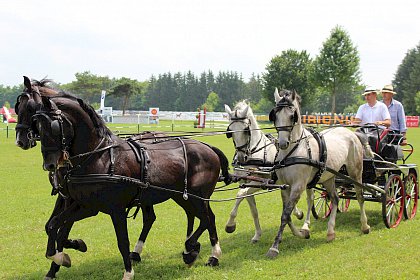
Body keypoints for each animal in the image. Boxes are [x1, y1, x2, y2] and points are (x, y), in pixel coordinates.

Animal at [17, 77, 230, 278]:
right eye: (37, 122)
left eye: (53, 125)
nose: (49, 164)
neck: (98, 156)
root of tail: (208, 147)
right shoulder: (82, 204)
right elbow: (53, 226)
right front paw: (61, 258)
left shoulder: (113, 209)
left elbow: (121, 240)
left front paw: (127, 272)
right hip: (182, 196)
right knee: (196, 217)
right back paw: (193, 250)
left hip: (197, 196)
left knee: (207, 218)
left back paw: (203, 252)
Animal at [225, 101, 314, 243]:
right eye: (230, 131)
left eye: (246, 130)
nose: (241, 157)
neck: (256, 151)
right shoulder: (247, 183)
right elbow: (253, 210)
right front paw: (257, 234)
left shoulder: (260, 183)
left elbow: (240, 194)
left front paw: (230, 225)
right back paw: (297, 213)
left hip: (308, 181)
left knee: (310, 199)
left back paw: (306, 224)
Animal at [266, 89, 370, 258]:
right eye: (275, 115)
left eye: (292, 116)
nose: (282, 143)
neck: (293, 152)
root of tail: (352, 133)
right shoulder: (285, 186)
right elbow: (287, 215)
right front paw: (302, 233)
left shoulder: (298, 186)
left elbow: (286, 215)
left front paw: (274, 247)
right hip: (329, 177)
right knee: (335, 198)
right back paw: (330, 232)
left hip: (355, 172)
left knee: (360, 196)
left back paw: (365, 226)